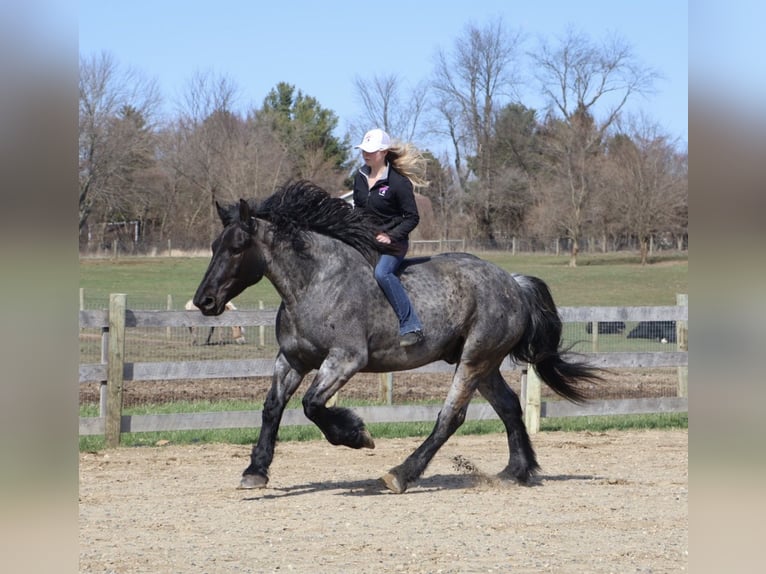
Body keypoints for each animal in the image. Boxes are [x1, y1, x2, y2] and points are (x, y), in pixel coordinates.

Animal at [193, 180, 602, 494]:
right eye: (213, 246)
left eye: (238, 247)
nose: (204, 301)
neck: (315, 283)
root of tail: (513, 283)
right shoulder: (292, 359)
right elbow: (272, 407)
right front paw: (255, 472)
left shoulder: (345, 359)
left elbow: (312, 405)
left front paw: (357, 434)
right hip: (484, 364)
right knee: (509, 408)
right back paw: (516, 472)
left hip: (474, 360)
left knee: (450, 418)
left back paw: (400, 475)